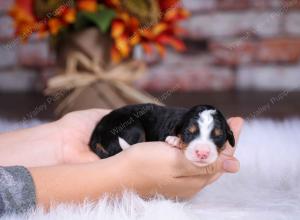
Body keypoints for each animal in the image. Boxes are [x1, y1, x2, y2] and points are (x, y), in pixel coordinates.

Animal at [89, 104, 234, 166]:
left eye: (218, 136)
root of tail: (95, 136)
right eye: (188, 132)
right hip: (133, 129)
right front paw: (175, 140)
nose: (202, 153)